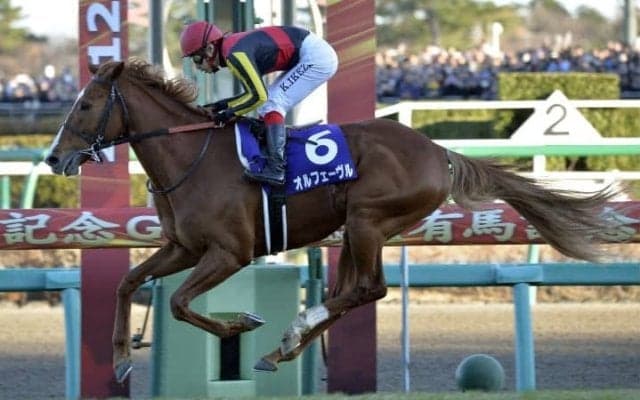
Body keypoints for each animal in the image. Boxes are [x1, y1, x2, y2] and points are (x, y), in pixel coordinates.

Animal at [44, 59, 616, 383]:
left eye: (87, 104)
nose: (53, 158)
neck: (192, 156)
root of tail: (439, 151)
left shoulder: (230, 252)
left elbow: (182, 304)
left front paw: (241, 325)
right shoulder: (183, 247)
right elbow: (127, 283)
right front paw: (121, 358)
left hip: (367, 219)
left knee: (371, 289)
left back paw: (291, 334)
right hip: (360, 229)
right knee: (352, 292)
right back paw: (285, 348)